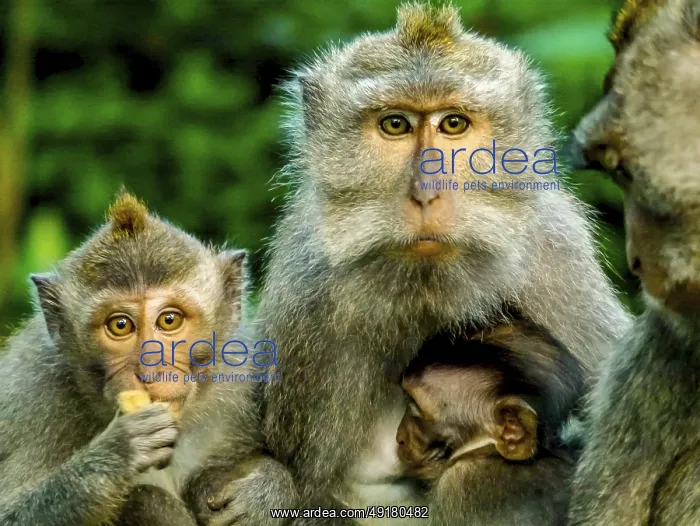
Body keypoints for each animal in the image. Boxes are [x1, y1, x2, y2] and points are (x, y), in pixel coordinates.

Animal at [0, 192, 265, 525]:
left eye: (169, 320)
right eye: (120, 325)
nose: (150, 371)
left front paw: (266, 491)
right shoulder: (35, 397)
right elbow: (9, 511)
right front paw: (117, 453)